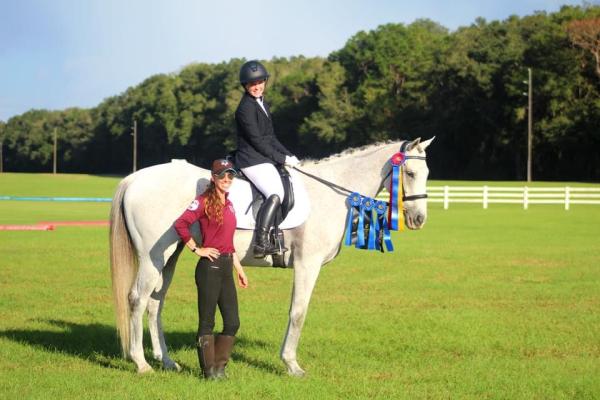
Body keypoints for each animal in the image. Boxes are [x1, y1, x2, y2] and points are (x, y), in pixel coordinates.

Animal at [110, 137, 434, 376]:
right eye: (411, 173)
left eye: (428, 175)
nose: (419, 219)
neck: (329, 194)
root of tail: (133, 180)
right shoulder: (307, 264)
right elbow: (298, 312)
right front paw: (291, 364)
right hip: (154, 255)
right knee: (137, 299)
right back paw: (141, 363)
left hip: (171, 253)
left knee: (155, 303)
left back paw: (166, 361)